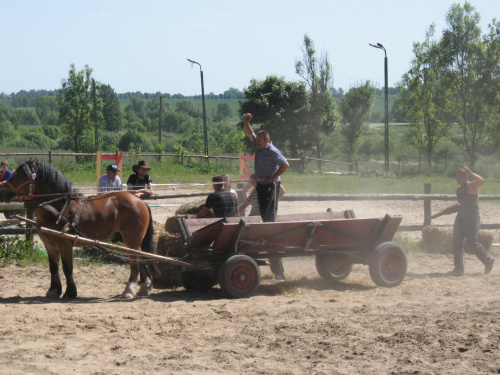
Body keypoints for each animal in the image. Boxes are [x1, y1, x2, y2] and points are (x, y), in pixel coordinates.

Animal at [0, 161, 155, 300]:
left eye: (21, 174)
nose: (3, 192)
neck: (58, 208)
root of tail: (139, 201)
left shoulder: (65, 244)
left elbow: (67, 268)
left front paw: (70, 293)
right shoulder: (49, 245)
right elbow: (53, 268)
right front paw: (54, 291)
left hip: (131, 240)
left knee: (134, 262)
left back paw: (129, 290)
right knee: (142, 258)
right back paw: (143, 287)